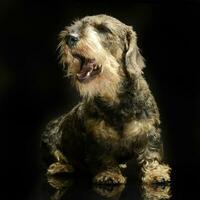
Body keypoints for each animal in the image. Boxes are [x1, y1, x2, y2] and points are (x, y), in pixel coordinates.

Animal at [41, 14, 171, 185]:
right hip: (49, 136)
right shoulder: (97, 140)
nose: (70, 38)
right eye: (77, 25)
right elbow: (104, 158)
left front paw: (155, 173)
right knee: (57, 157)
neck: (115, 97)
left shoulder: (150, 131)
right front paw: (109, 174)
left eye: (104, 29)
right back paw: (60, 167)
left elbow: (151, 154)